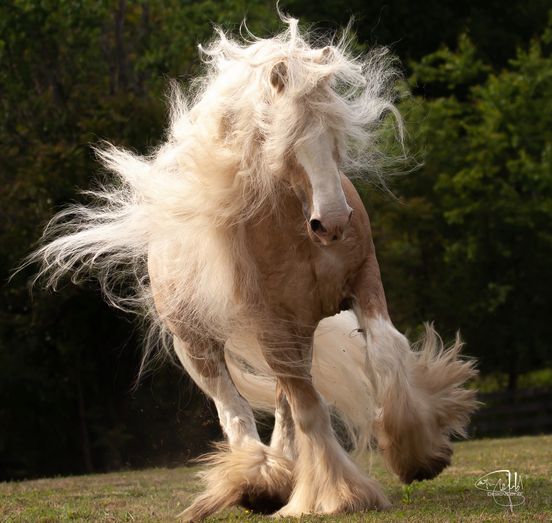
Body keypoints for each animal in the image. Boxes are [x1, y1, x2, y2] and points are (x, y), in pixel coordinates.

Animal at [29, 14, 478, 520]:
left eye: (335, 133)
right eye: (287, 137)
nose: (333, 223)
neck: (297, 233)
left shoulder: (362, 282)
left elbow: (384, 352)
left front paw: (419, 456)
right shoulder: (271, 326)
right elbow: (306, 409)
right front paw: (338, 494)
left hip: (294, 335)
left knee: (285, 401)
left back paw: (283, 472)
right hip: (201, 344)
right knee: (236, 409)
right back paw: (259, 484)